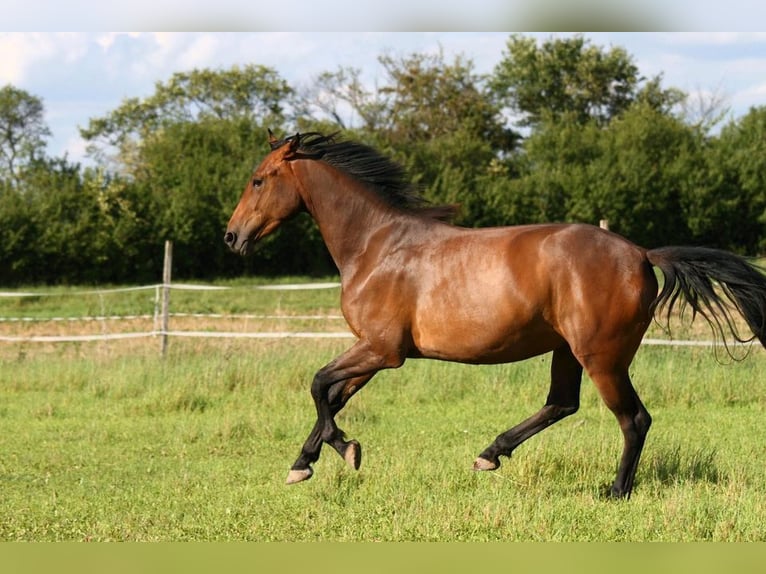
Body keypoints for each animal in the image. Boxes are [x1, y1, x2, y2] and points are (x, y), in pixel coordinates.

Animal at [224, 131, 766, 498]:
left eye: (258, 180)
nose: (232, 237)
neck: (377, 246)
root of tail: (641, 253)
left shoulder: (382, 349)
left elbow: (319, 385)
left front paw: (341, 451)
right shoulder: (375, 353)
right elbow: (332, 397)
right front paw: (307, 461)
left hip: (603, 357)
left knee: (634, 419)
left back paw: (615, 492)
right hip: (567, 351)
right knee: (562, 403)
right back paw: (491, 454)